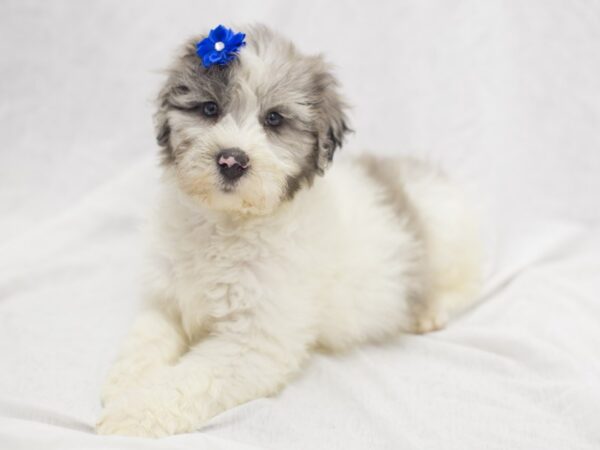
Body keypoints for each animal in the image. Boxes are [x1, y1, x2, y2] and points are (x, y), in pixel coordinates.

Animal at [98, 23, 482, 436]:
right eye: (210, 109)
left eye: (274, 119)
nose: (231, 160)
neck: (226, 224)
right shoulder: (165, 301)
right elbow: (143, 344)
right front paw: (124, 387)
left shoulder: (254, 342)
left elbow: (188, 380)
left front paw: (133, 413)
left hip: (449, 242)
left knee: (463, 286)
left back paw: (427, 312)